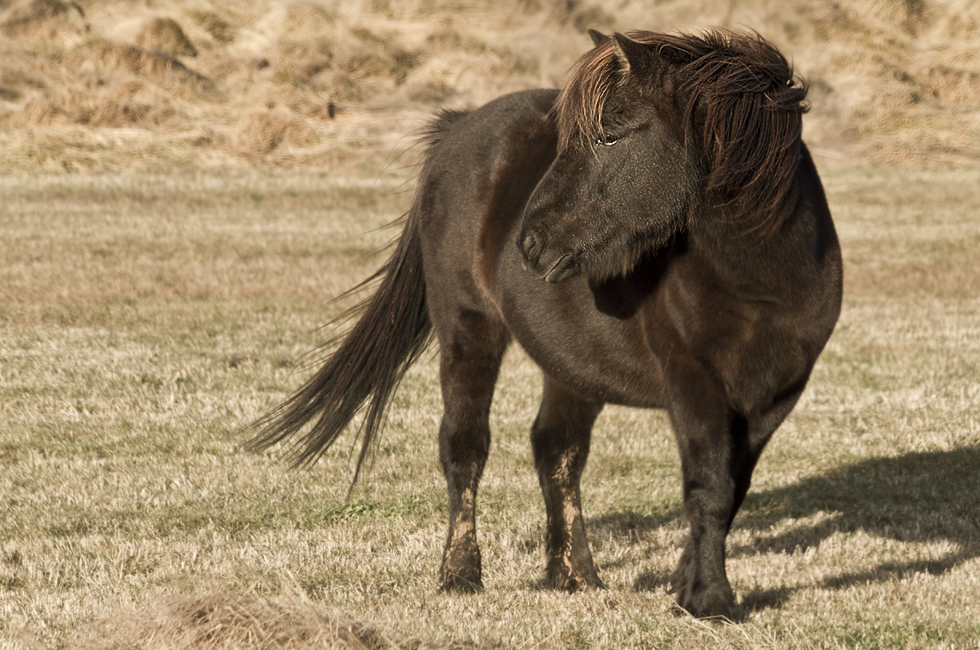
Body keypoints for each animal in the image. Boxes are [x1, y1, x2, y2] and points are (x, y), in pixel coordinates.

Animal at [245, 30, 844, 616]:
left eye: (609, 137)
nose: (530, 243)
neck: (761, 280)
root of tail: (457, 127)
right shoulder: (692, 381)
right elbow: (711, 485)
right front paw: (710, 600)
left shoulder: (777, 392)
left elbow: (732, 488)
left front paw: (685, 584)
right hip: (469, 330)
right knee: (465, 446)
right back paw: (461, 574)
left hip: (571, 363)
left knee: (557, 451)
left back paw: (574, 576)